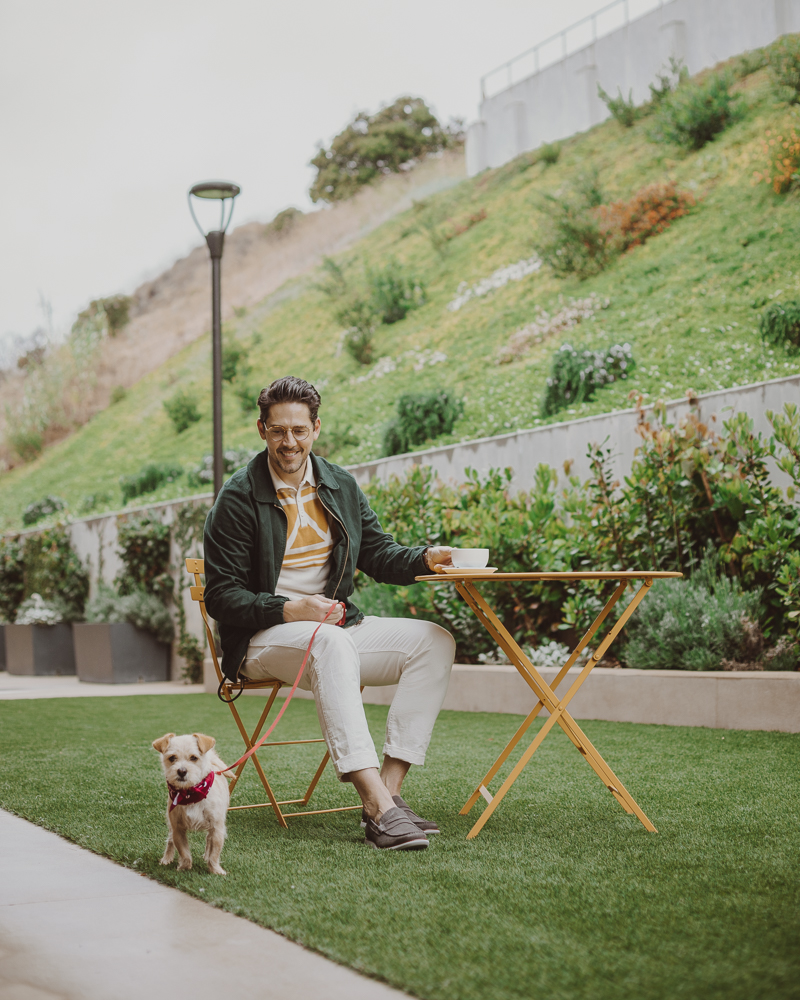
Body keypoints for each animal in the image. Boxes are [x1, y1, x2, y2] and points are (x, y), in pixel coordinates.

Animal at [152, 736, 230, 876]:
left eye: (194, 757)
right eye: (172, 758)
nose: (182, 771)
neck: (190, 792)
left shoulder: (217, 828)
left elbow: (214, 853)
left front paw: (215, 870)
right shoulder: (177, 829)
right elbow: (184, 852)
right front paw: (184, 868)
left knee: (208, 839)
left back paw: (206, 856)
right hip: (171, 826)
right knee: (170, 841)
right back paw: (166, 859)